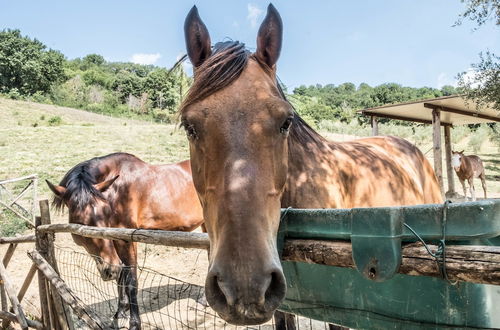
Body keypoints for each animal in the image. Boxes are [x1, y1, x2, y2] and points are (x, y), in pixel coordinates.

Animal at [46, 153, 204, 330]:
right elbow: (121, 277)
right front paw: (120, 313)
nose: (109, 269)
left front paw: (134, 323)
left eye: (105, 212)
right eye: (80, 221)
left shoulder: (127, 240)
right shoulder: (114, 239)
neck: (118, 189)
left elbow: (130, 281)